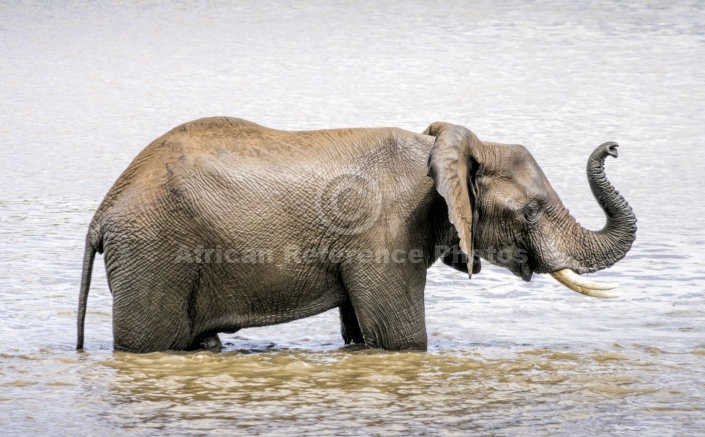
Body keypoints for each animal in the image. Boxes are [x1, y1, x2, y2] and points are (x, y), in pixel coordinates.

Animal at [77, 117, 640, 352]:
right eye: (531, 210)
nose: (614, 147)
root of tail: (103, 211)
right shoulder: (388, 230)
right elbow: (399, 338)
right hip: (155, 252)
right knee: (154, 344)